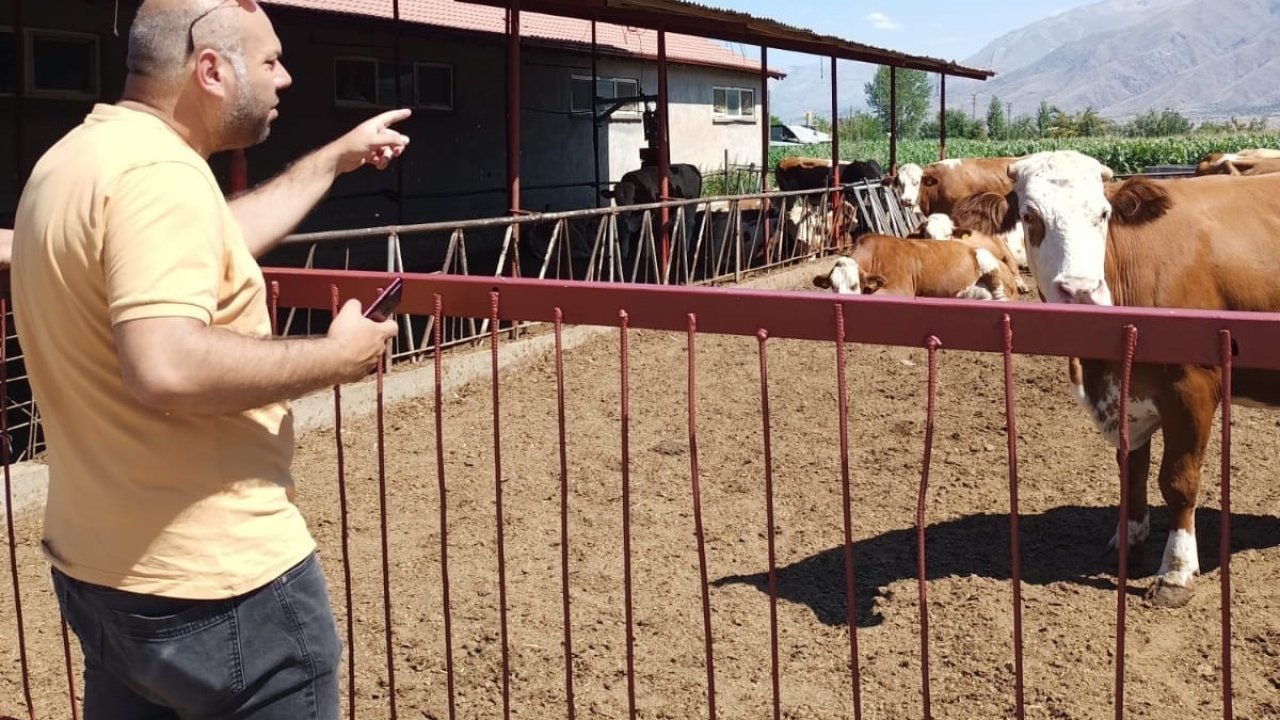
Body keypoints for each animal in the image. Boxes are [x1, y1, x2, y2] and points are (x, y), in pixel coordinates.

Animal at [1003, 149, 1280, 604]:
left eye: (1103, 213)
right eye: (1029, 215)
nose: (1080, 291)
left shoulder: (1193, 387)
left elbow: (1179, 481)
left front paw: (1176, 571)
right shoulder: (1125, 397)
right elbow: (1131, 471)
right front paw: (1128, 545)